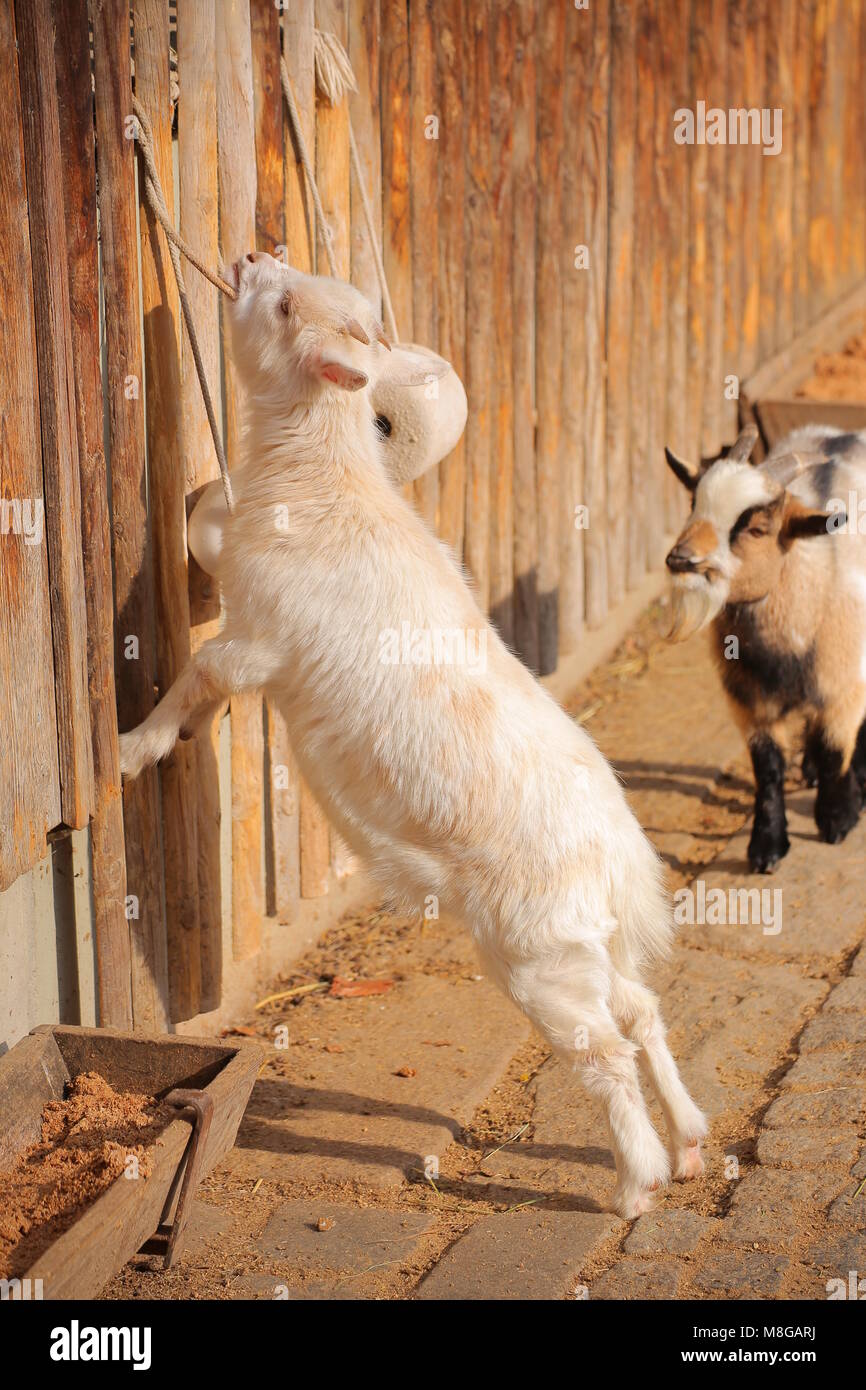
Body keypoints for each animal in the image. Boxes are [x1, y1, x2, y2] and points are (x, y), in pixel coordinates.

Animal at [120, 252, 707, 1217]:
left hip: (540, 955)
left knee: (605, 1051)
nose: (248, 259)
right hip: (582, 941)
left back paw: (636, 1181)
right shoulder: (254, 641)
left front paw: (138, 745)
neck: (325, 481)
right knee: (641, 1009)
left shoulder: (259, 639)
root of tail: (619, 853)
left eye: (285, 305)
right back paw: (691, 1142)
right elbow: (209, 695)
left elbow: (199, 674)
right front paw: (179, 737)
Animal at [664, 422, 866, 872]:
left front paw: (837, 818)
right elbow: (768, 767)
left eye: (757, 529)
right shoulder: (749, 699)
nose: (682, 560)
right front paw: (766, 846)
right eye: (693, 505)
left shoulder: (844, 682)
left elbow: (836, 749)